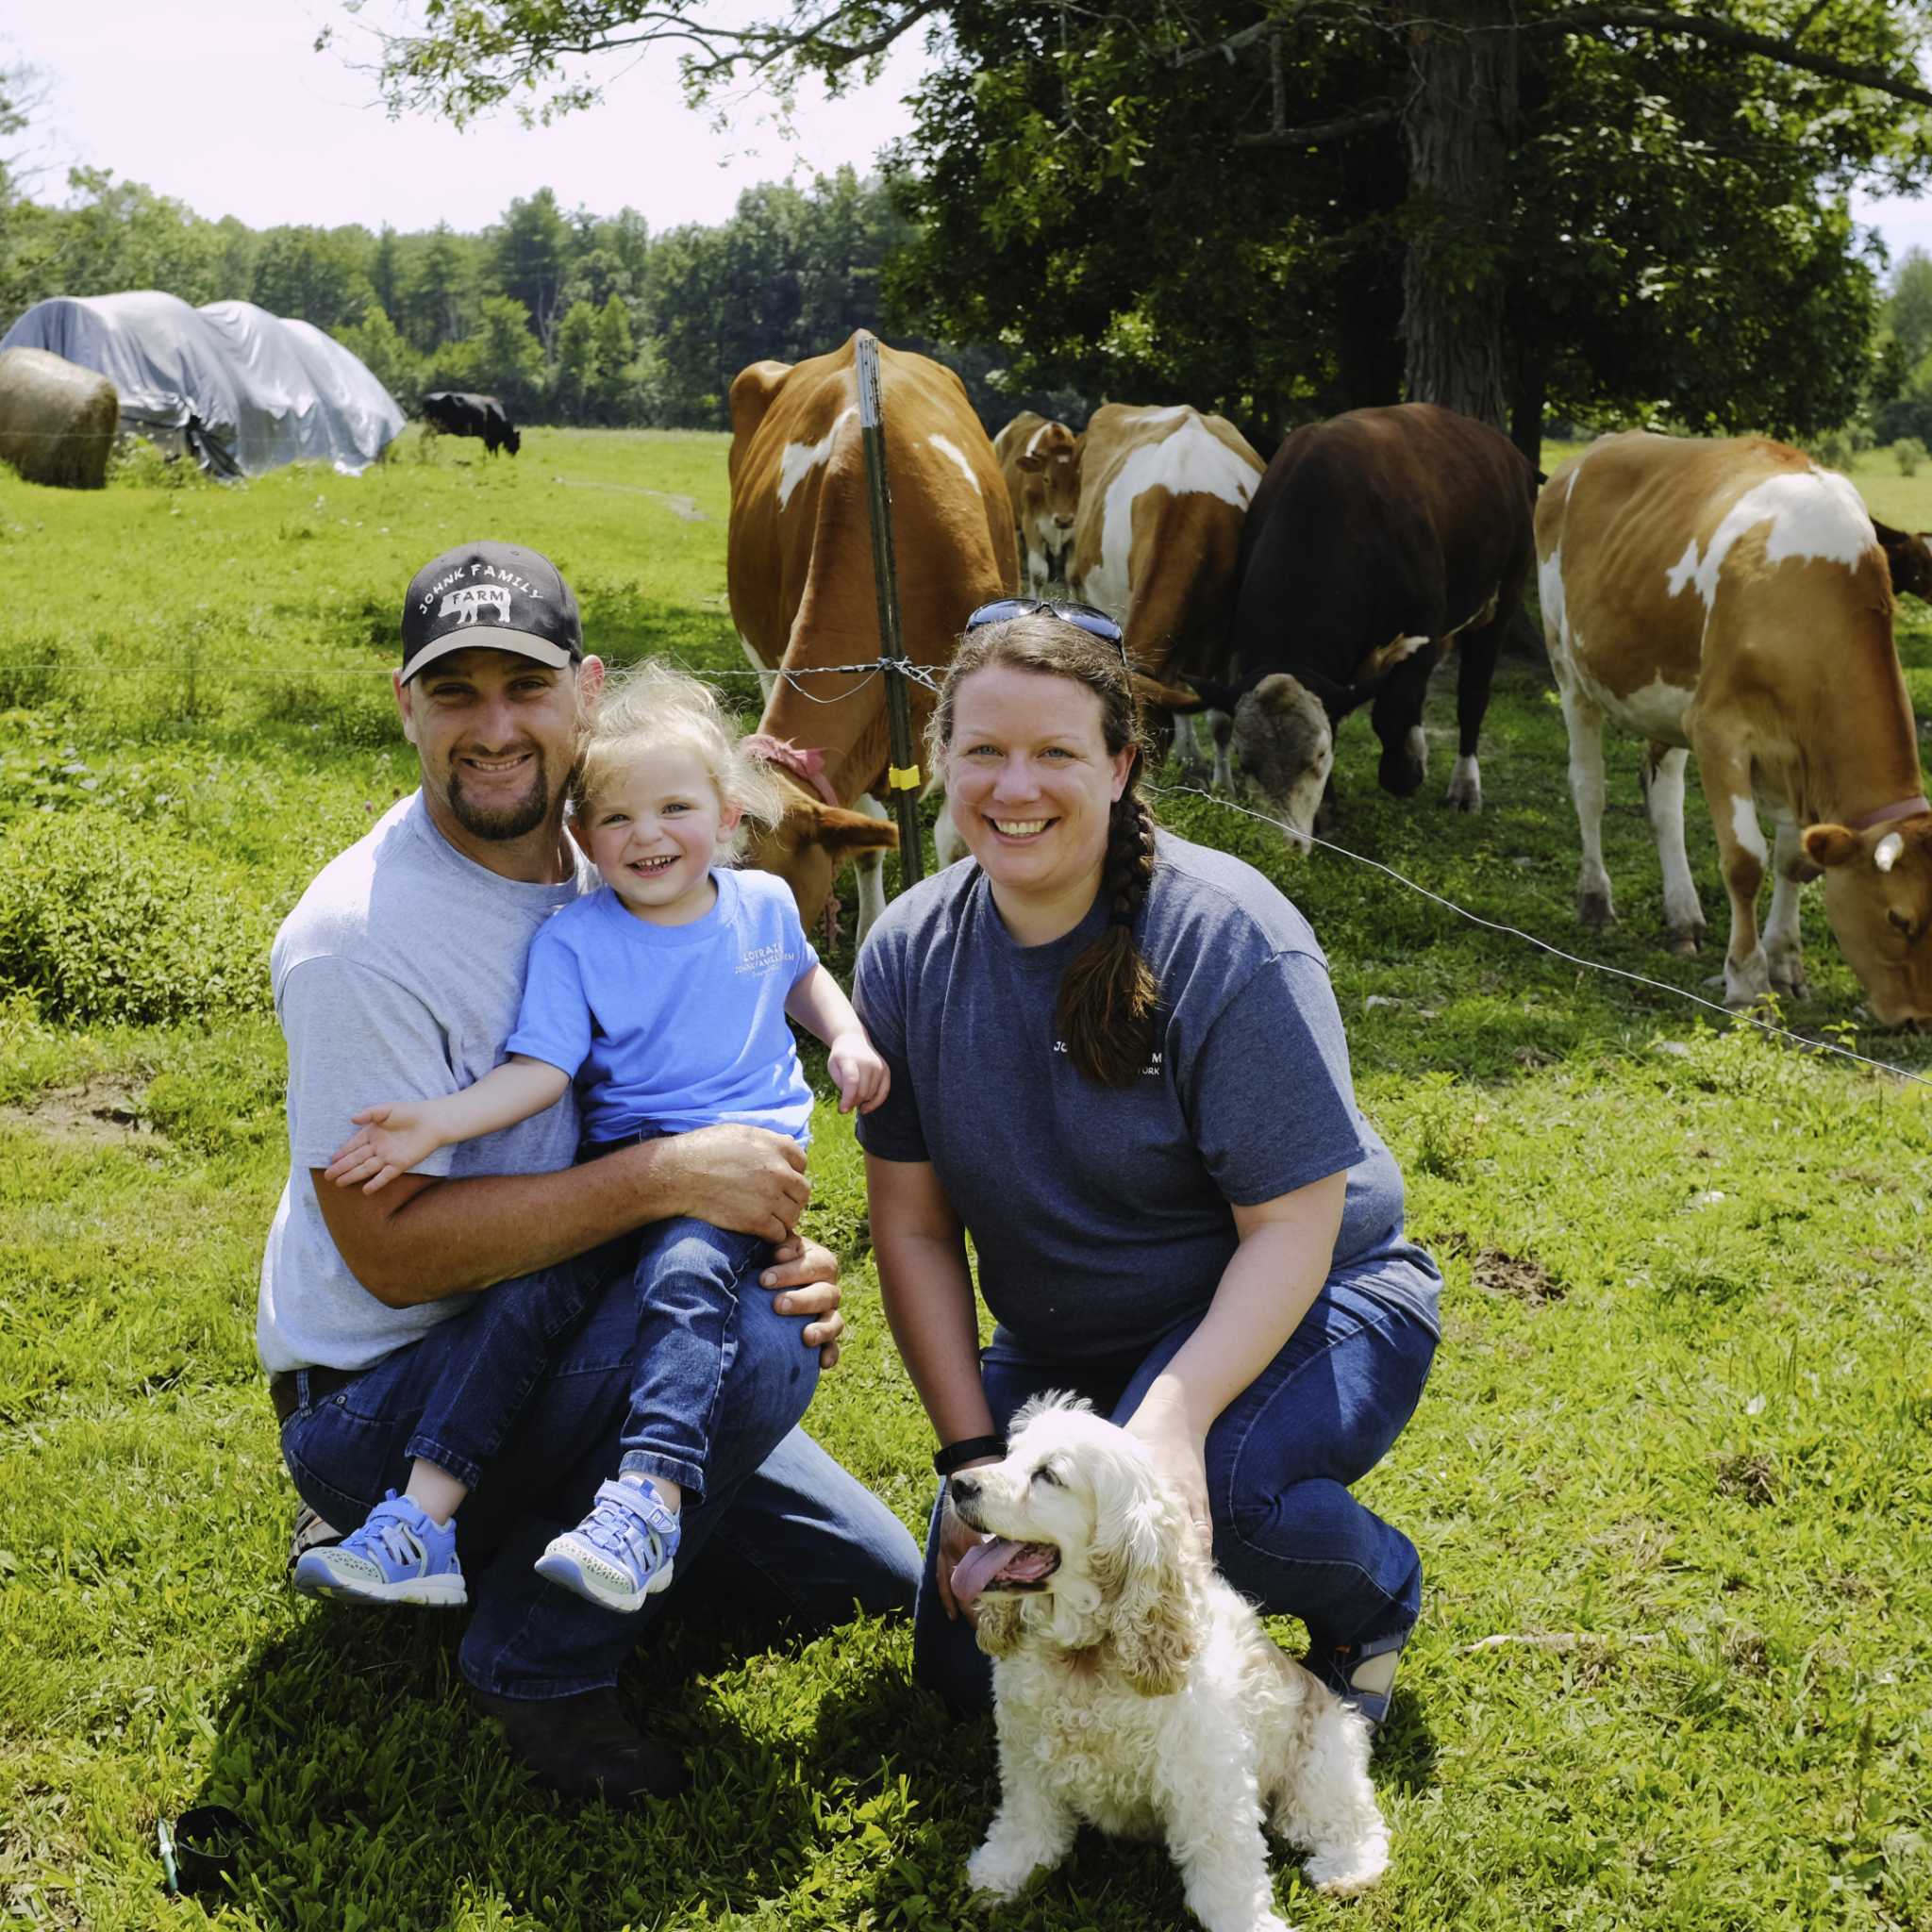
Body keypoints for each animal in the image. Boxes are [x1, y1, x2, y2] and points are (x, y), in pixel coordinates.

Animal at [996, 408, 1090, 587]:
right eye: (1046, 479)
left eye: (1080, 477)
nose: (1064, 520)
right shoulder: (1031, 523)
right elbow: (1038, 574)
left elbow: (1073, 576)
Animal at [1182, 404, 1530, 850]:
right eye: (1245, 759)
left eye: (1318, 756)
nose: (1282, 841)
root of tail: (1507, 451)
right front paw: (1329, 808)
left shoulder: (1423, 625)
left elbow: (1391, 711)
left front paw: (1403, 774)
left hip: (1503, 599)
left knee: (1472, 695)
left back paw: (1465, 787)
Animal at [1538, 425, 1932, 1027]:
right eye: (1898, 919)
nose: (1919, 1020)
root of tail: (1590, 450)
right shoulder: (1718, 730)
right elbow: (1745, 861)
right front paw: (1747, 981)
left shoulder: (1796, 752)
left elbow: (1796, 860)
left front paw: (1786, 965)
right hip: (1569, 666)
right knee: (1589, 789)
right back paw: (1596, 901)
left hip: (1668, 694)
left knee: (1663, 798)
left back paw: (1683, 917)